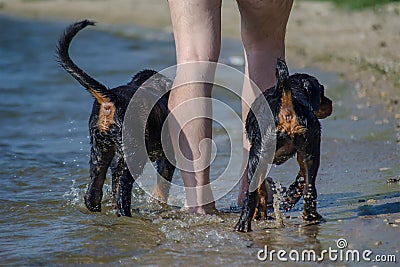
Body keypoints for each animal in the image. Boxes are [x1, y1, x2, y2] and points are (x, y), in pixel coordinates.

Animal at [56, 21, 175, 218]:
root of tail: (112, 98)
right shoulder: (167, 158)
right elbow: (161, 188)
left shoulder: (117, 160)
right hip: (134, 155)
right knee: (123, 191)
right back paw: (127, 214)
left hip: (100, 151)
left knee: (93, 193)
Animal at [234, 58, 332, 232]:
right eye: (322, 93)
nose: (331, 103)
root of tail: (287, 108)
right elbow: (301, 177)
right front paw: (290, 197)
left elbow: (261, 191)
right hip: (311, 148)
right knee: (310, 186)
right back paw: (311, 216)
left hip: (257, 156)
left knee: (251, 194)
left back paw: (243, 224)